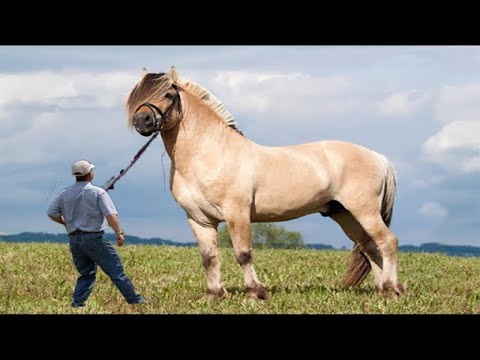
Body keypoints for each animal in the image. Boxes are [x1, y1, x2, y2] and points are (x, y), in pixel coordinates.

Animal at [125, 66, 404, 300]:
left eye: (169, 93)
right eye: (137, 95)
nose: (142, 121)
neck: (210, 153)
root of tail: (378, 157)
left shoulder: (237, 213)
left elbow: (243, 253)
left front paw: (254, 293)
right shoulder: (199, 219)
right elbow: (209, 257)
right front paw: (213, 295)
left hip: (364, 211)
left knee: (387, 243)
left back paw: (392, 289)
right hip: (346, 215)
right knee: (370, 247)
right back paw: (382, 290)